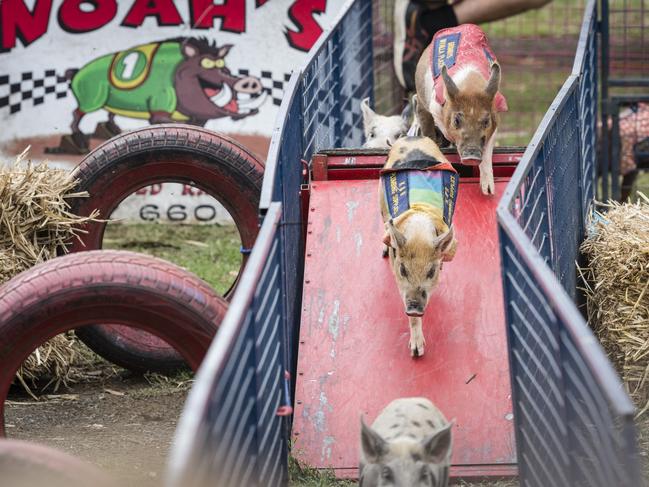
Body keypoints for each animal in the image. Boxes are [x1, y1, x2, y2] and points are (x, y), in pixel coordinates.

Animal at [412, 22, 508, 194]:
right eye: (456, 120)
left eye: (486, 122)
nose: (471, 157)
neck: (470, 85)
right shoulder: (435, 106)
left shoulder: (496, 118)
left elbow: (487, 153)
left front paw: (488, 191)